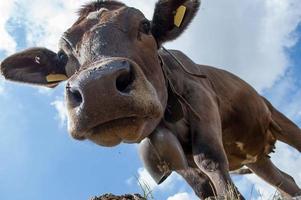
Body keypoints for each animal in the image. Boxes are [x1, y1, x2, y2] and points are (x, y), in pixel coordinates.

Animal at [0, 0, 300, 199]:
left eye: (145, 25)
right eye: (63, 56)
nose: (98, 87)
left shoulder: (203, 102)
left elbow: (211, 160)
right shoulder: (176, 158)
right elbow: (202, 187)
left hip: (273, 113)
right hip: (256, 158)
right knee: (285, 182)